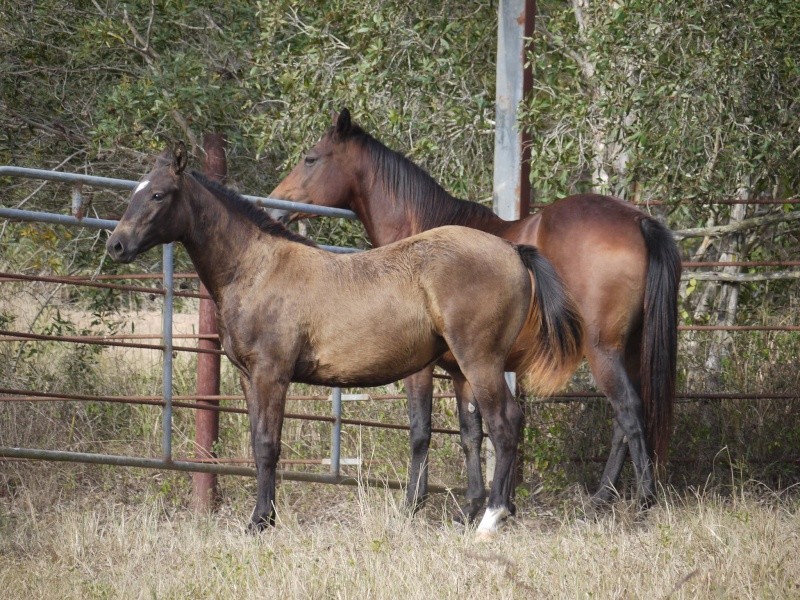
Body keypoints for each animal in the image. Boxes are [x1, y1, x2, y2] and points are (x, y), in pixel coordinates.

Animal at [106, 143, 580, 536]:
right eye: (136, 192)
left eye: (158, 195)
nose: (116, 245)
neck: (256, 267)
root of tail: (512, 251)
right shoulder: (247, 377)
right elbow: (258, 444)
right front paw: (264, 518)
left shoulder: (271, 375)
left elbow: (267, 445)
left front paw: (259, 523)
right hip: (463, 368)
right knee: (477, 432)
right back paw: (473, 515)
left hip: (480, 362)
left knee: (505, 424)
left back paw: (492, 518)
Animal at [270, 109, 680, 516]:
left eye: (311, 159)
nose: (274, 205)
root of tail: (637, 220)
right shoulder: (461, 371)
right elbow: (470, 433)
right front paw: (474, 505)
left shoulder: (421, 369)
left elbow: (421, 431)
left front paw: (413, 504)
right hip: (628, 351)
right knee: (623, 424)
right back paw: (601, 498)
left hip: (601, 351)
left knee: (628, 412)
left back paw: (641, 500)